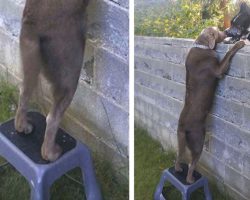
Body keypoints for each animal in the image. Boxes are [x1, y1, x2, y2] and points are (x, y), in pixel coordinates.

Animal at [14, 0, 89, 162]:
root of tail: (33, 25)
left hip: (29, 63)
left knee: (23, 95)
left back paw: (23, 126)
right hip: (69, 76)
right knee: (52, 118)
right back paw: (51, 153)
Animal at [174, 27, 244, 184]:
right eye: (218, 31)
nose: (227, 32)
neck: (201, 45)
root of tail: (183, 127)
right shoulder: (218, 70)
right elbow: (228, 53)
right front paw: (240, 43)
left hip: (181, 141)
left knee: (179, 157)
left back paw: (179, 169)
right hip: (198, 141)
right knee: (192, 164)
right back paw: (190, 179)